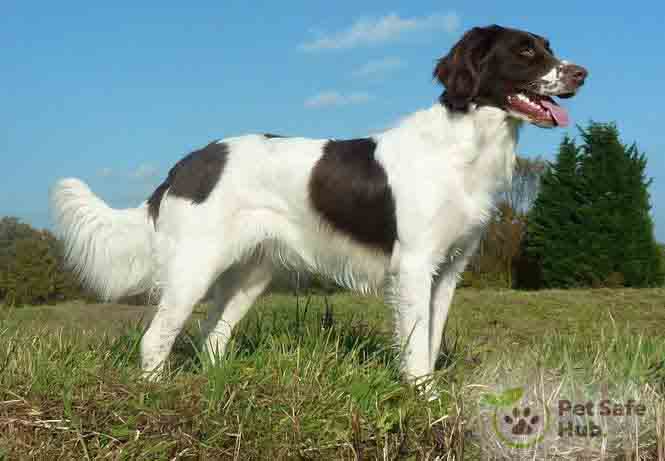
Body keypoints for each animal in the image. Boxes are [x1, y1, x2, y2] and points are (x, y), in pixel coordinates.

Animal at [52, 25, 588, 382]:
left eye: (549, 47)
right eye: (525, 50)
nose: (582, 73)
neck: (465, 145)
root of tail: (183, 166)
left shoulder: (449, 271)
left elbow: (431, 341)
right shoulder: (415, 266)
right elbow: (417, 347)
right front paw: (423, 398)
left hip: (250, 274)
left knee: (212, 338)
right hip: (193, 268)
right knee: (155, 339)